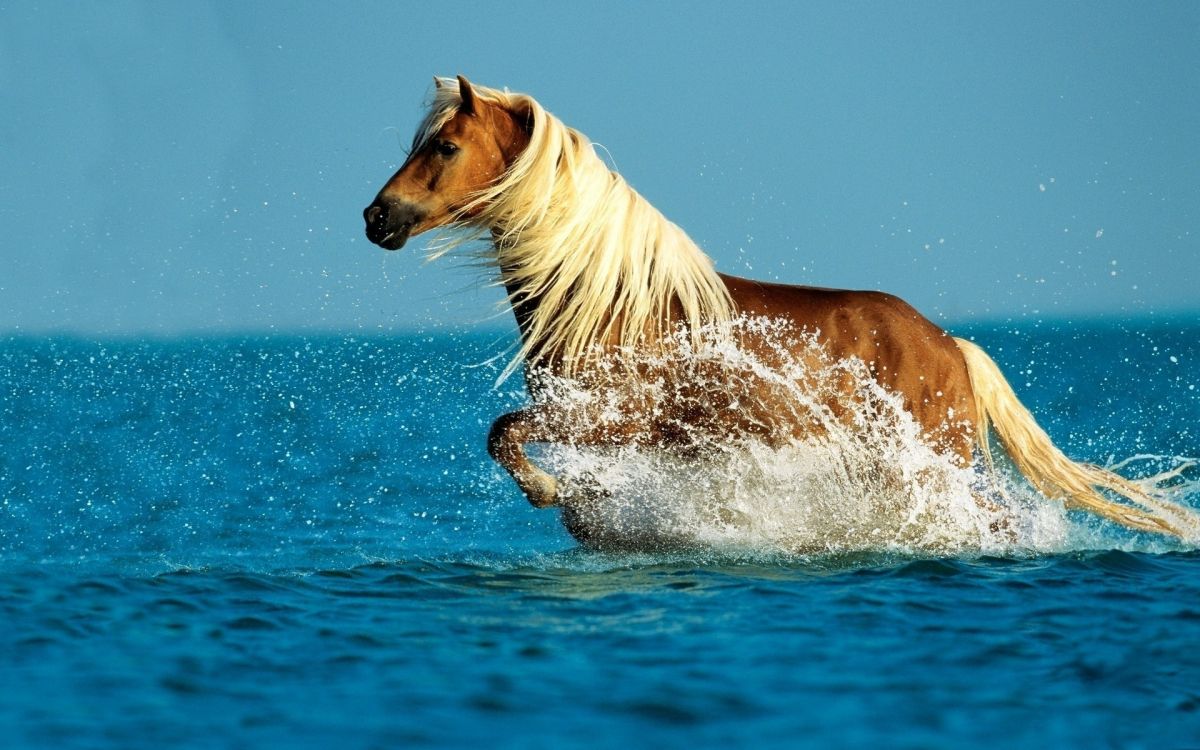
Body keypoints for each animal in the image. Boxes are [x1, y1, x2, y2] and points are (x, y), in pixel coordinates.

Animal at [363, 75, 1197, 543]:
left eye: (444, 146)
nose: (378, 218)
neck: (611, 303)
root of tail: (951, 344)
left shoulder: (607, 417)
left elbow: (504, 434)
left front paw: (546, 491)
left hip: (930, 466)